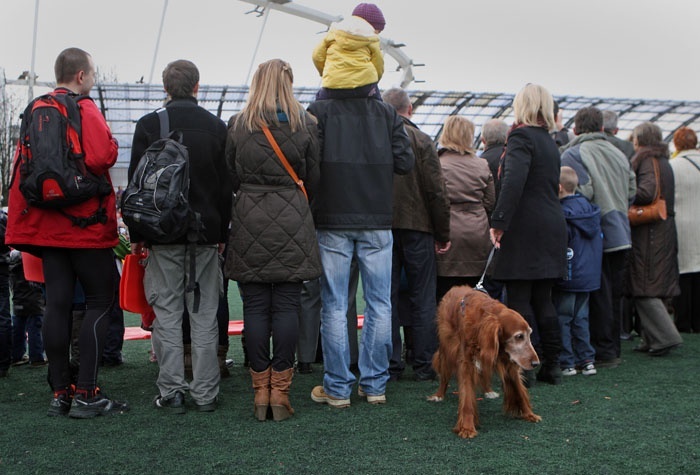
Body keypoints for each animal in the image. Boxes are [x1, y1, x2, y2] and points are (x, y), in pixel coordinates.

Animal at [426, 286, 540, 438]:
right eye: (519, 336)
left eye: (529, 335)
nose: (536, 364)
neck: (483, 322)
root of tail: (456, 287)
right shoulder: (466, 363)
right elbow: (467, 397)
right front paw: (467, 427)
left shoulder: (508, 361)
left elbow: (519, 389)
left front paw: (529, 414)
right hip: (446, 347)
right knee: (444, 375)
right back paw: (439, 395)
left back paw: (488, 391)